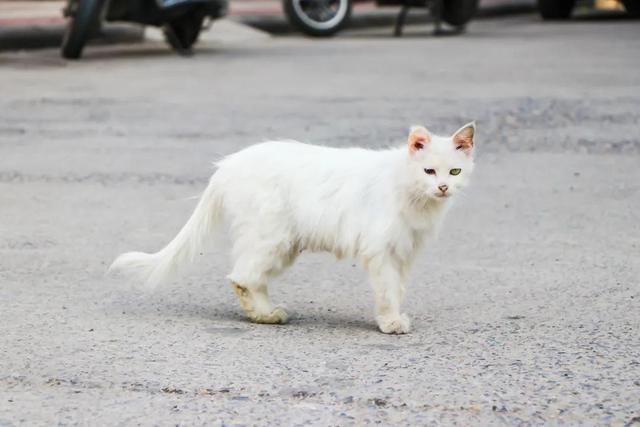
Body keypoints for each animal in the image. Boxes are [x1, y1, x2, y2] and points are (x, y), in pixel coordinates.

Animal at [111, 123, 476, 334]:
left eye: (455, 172)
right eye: (429, 171)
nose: (443, 187)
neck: (409, 190)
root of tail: (228, 164)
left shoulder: (404, 252)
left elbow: (397, 289)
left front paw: (393, 316)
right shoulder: (381, 250)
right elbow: (387, 291)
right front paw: (390, 323)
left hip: (280, 244)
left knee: (251, 279)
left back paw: (268, 313)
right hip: (272, 237)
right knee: (241, 278)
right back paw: (265, 317)